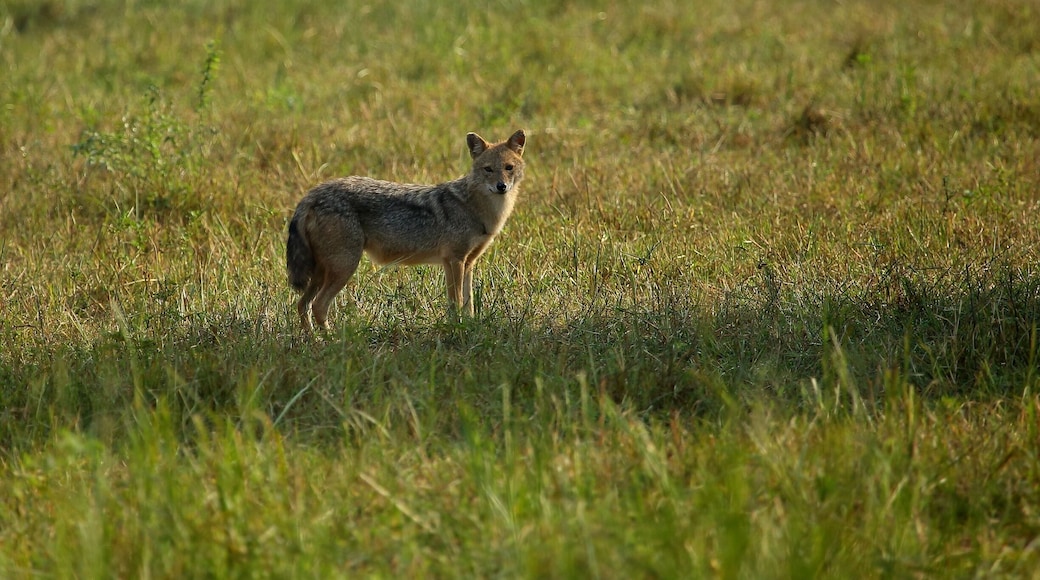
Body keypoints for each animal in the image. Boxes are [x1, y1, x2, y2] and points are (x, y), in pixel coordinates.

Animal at [286, 129, 526, 331]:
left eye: (508, 168)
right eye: (488, 169)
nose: (501, 187)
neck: (479, 210)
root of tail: (312, 194)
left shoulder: (466, 263)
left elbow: (468, 304)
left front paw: (467, 326)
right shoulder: (454, 260)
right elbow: (456, 302)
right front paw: (457, 329)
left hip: (323, 272)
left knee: (302, 304)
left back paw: (313, 340)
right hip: (344, 268)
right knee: (318, 306)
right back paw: (330, 340)